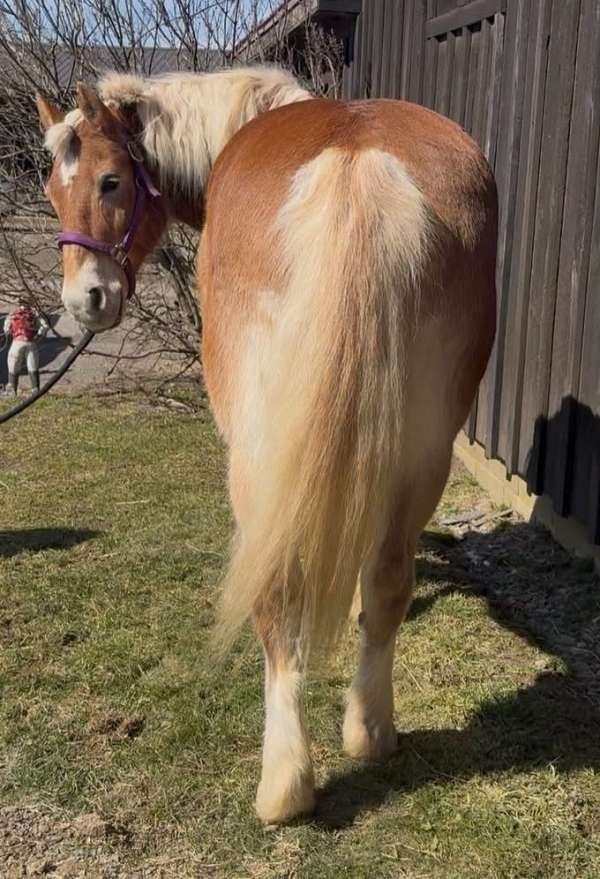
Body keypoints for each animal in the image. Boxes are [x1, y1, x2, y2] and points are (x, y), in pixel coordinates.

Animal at [36, 65, 497, 825]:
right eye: (51, 188)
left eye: (109, 181)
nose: (85, 302)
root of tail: (357, 160)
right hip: (426, 442)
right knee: (388, 577)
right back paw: (370, 731)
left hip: (256, 455)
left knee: (276, 596)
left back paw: (283, 783)